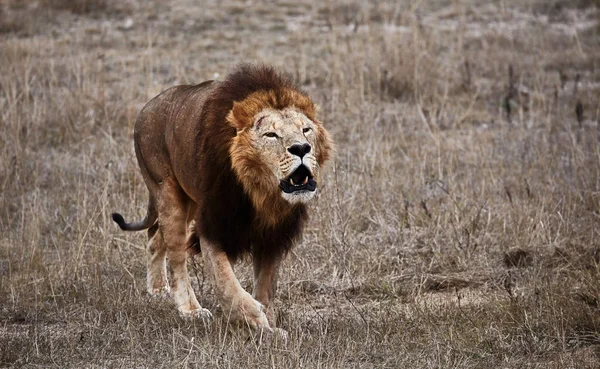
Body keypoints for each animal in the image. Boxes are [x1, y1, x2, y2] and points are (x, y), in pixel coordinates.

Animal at [112, 63, 332, 330]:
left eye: (306, 130)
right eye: (271, 135)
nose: (301, 148)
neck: (262, 193)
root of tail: (146, 107)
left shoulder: (274, 235)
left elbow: (265, 285)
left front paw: (267, 324)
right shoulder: (213, 224)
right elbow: (227, 284)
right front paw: (255, 320)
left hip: (190, 202)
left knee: (155, 237)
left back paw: (157, 290)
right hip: (167, 191)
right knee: (176, 256)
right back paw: (190, 310)